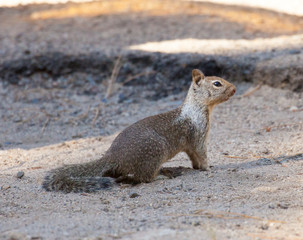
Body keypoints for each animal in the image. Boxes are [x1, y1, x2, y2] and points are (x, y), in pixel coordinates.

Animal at [42, 68, 238, 192]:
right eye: (217, 83)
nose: (235, 89)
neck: (197, 108)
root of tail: (112, 157)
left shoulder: (191, 144)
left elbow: (194, 157)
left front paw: (198, 167)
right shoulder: (198, 134)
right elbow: (201, 153)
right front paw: (208, 168)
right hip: (155, 152)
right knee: (143, 177)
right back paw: (161, 176)